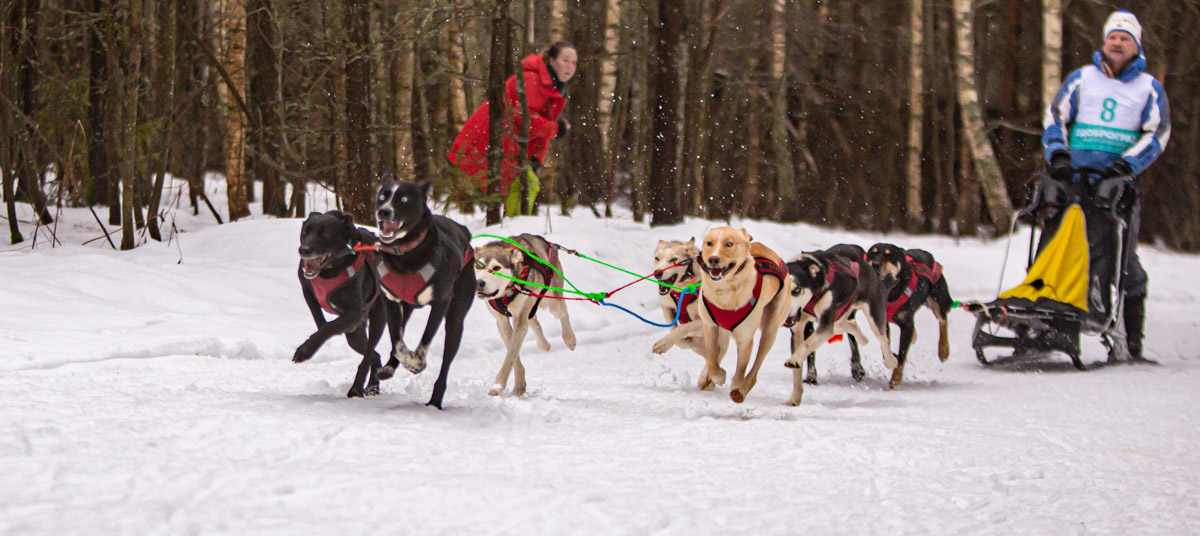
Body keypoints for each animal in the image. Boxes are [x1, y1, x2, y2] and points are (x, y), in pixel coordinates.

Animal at [290, 209, 384, 398]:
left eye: (325, 233)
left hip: (378, 318)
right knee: (374, 355)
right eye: (305, 231)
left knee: (369, 354)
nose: (304, 250)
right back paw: (372, 387)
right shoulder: (307, 290)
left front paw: (305, 351)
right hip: (356, 337)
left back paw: (357, 388)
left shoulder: (354, 314)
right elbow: (321, 322)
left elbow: (328, 327)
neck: (329, 271)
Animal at [372, 177, 475, 412]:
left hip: (456, 319)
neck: (405, 255)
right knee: (397, 341)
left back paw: (435, 401)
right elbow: (397, 343)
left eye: (403, 199)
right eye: (382, 196)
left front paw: (417, 363)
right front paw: (407, 361)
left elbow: (425, 340)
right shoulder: (391, 302)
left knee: (446, 363)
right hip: (406, 309)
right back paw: (388, 368)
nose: (384, 211)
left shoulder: (441, 303)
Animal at [472, 232, 576, 395]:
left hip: (553, 302)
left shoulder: (519, 320)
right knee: (534, 320)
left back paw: (569, 339)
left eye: (496, 267)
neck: (506, 291)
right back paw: (543, 344)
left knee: (562, 311)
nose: (479, 283)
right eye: (478, 266)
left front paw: (498, 386)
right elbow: (512, 353)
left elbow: (510, 356)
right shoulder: (502, 322)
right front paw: (519, 384)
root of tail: (542, 240)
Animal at [691, 226, 792, 402]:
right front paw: (716, 376)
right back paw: (706, 377)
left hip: (770, 331)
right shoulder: (710, 326)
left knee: (756, 367)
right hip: (723, 332)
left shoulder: (745, 339)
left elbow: (740, 372)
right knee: (718, 352)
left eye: (729, 244)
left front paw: (735, 384)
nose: (713, 259)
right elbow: (712, 361)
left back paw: (741, 391)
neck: (726, 290)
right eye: (709, 243)